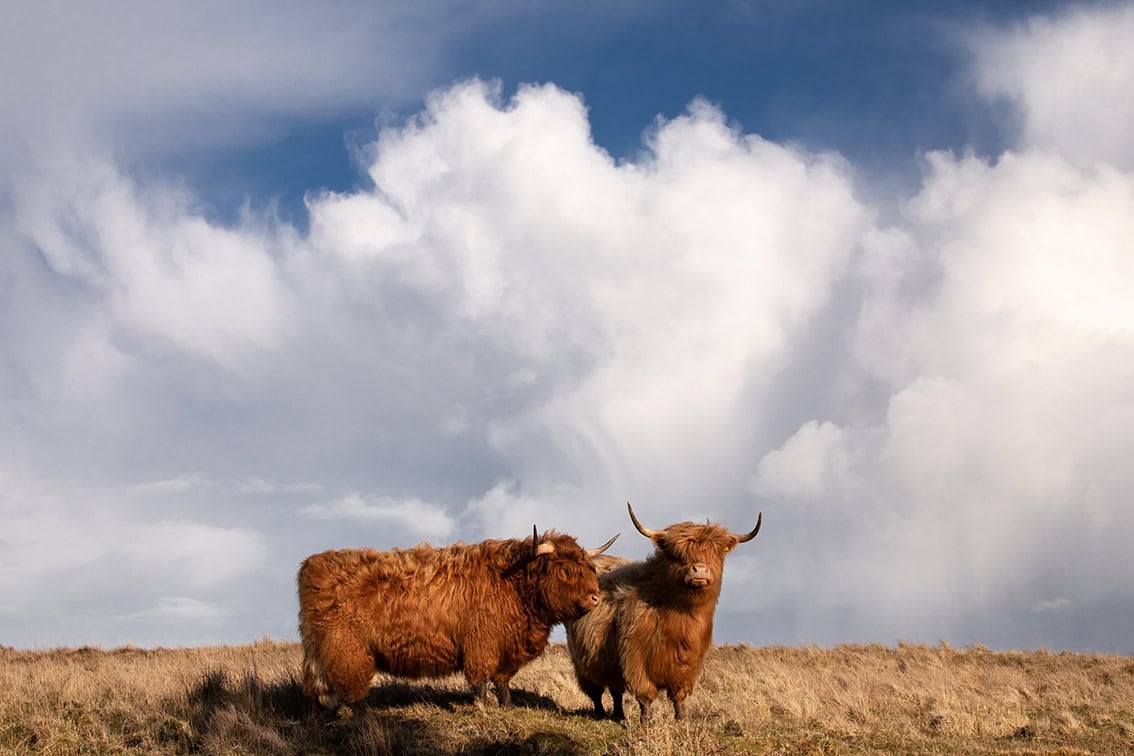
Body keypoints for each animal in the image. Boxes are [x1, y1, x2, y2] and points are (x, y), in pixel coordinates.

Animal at [299, 530, 621, 711]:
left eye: (589, 567)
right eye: (565, 570)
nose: (595, 598)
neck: (514, 587)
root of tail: (312, 565)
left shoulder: (507, 647)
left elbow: (502, 681)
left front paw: (507, 707)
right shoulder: (482, 643)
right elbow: (480, 679)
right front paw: (481, 709)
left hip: (320, 649)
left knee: (315, 688)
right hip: (345, 647)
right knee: (349, 688)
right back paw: (362, 719)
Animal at [567, 503, 762, 725]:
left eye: (715, 552)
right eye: (677, 554)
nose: (699, 570)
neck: (679, 615)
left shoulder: (688, 662)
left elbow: (678, 695)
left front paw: (681, 719)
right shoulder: (635, 656)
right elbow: (644, 694)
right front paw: (645, 721)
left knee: (616, 691)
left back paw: (618, 714)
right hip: (584, 661)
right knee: (596, 691)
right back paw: (600, 713)